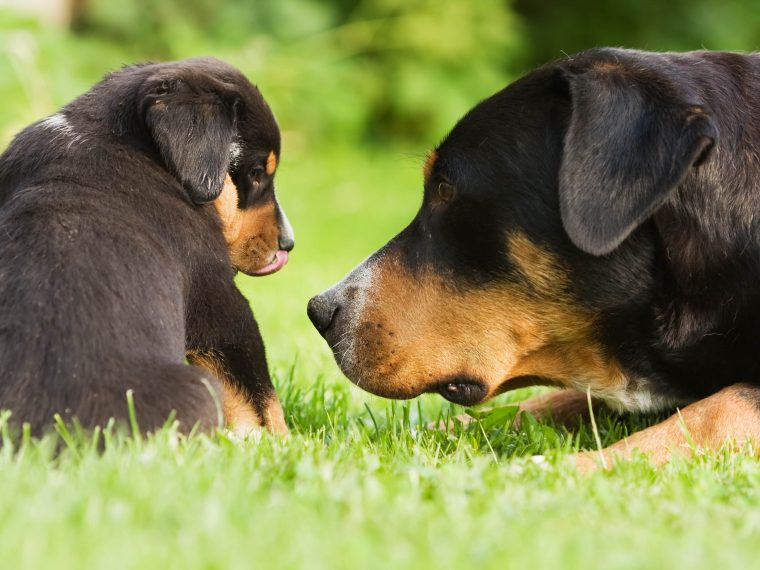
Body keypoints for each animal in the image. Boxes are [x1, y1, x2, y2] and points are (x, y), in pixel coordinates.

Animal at [0, 57, 292, 432]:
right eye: (256, 173)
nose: (289, 243)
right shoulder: (219, 300)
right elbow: (259, 395)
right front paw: (279, 440)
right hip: (196, 386)